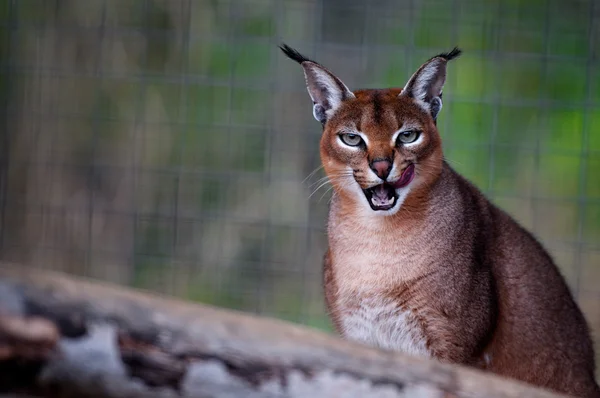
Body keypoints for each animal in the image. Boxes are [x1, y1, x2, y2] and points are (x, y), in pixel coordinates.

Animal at [282, 44, 600, 398]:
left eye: (408, 136)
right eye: (352, 139)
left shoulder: (452, 348)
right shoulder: (362, 340)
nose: (381, 166)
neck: (378, 240)